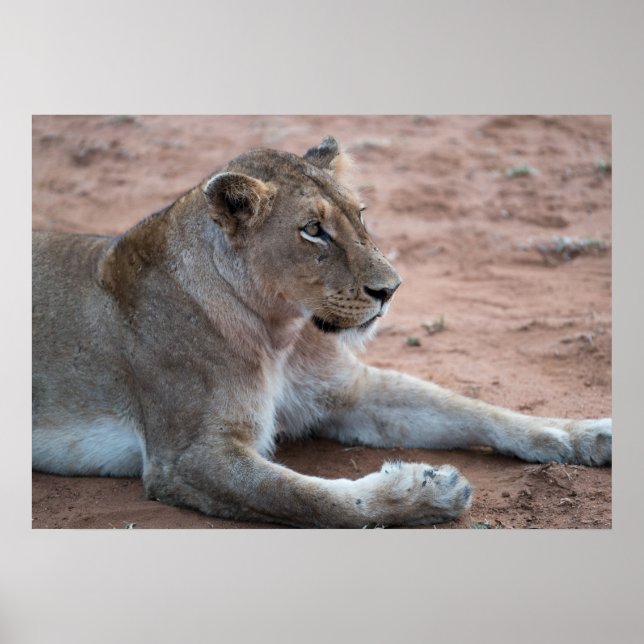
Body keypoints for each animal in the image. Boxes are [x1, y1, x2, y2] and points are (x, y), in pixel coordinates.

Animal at [32, 136, 611, 528]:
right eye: (313, 230)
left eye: (360, 214)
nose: (391, 289)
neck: (281, 331)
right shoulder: (187, 458)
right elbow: (314, 499)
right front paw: (424, 494)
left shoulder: (349, 392)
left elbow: (475, 409)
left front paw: (586, 435)